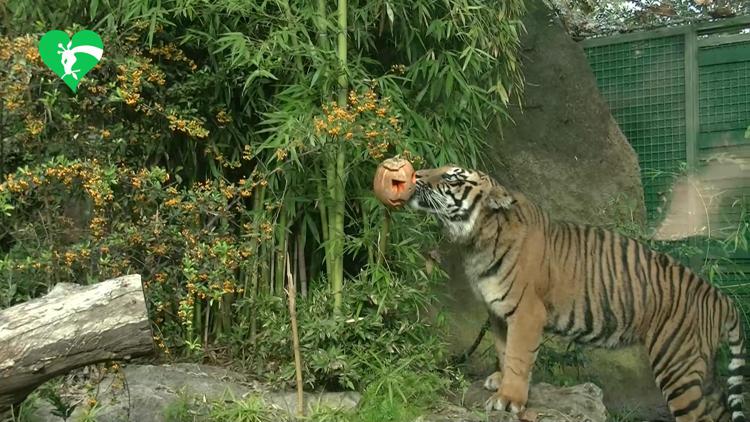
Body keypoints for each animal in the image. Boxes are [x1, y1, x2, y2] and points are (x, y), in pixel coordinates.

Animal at [408, 164, 748, 422]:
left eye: (452, 177)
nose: (416, 175)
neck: (476, 239)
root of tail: (721, 297)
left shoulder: (526, 312)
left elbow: (517, 356)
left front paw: (509, 399)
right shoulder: (498, 312)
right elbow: (504, 351)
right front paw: (501, 382)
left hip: (677, 365)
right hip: (700, 369)